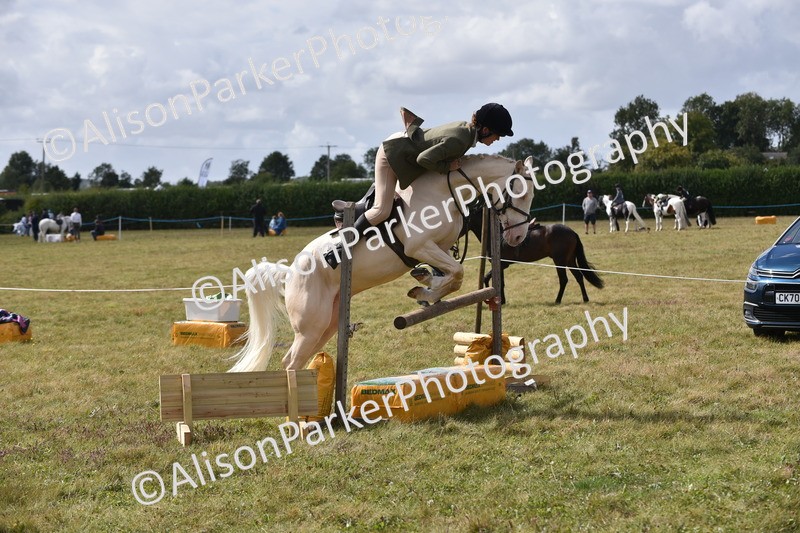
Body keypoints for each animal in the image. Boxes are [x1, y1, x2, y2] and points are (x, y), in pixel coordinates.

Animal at [229, 154, 536, 373]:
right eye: (520, 192)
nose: (518, 237)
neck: (444, 193)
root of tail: (290, 272)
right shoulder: (419, 246)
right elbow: (457, 273)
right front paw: (426, 290)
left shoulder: (439, 248)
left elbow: (451, 274)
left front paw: (425, 285)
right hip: (310, 325)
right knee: (291, 362)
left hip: (328, 322)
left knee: (297, 360)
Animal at [469, 217, 604, 304]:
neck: (498, 236)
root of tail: (572, 232)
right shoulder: (501, 265)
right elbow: (500, 282)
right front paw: (501, 301)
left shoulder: (502, 264)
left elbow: (487, 278)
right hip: (569, 260)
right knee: (579, 277)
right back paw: (585, 299)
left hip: (559, 261)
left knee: (564, 280)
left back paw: (557, 300)